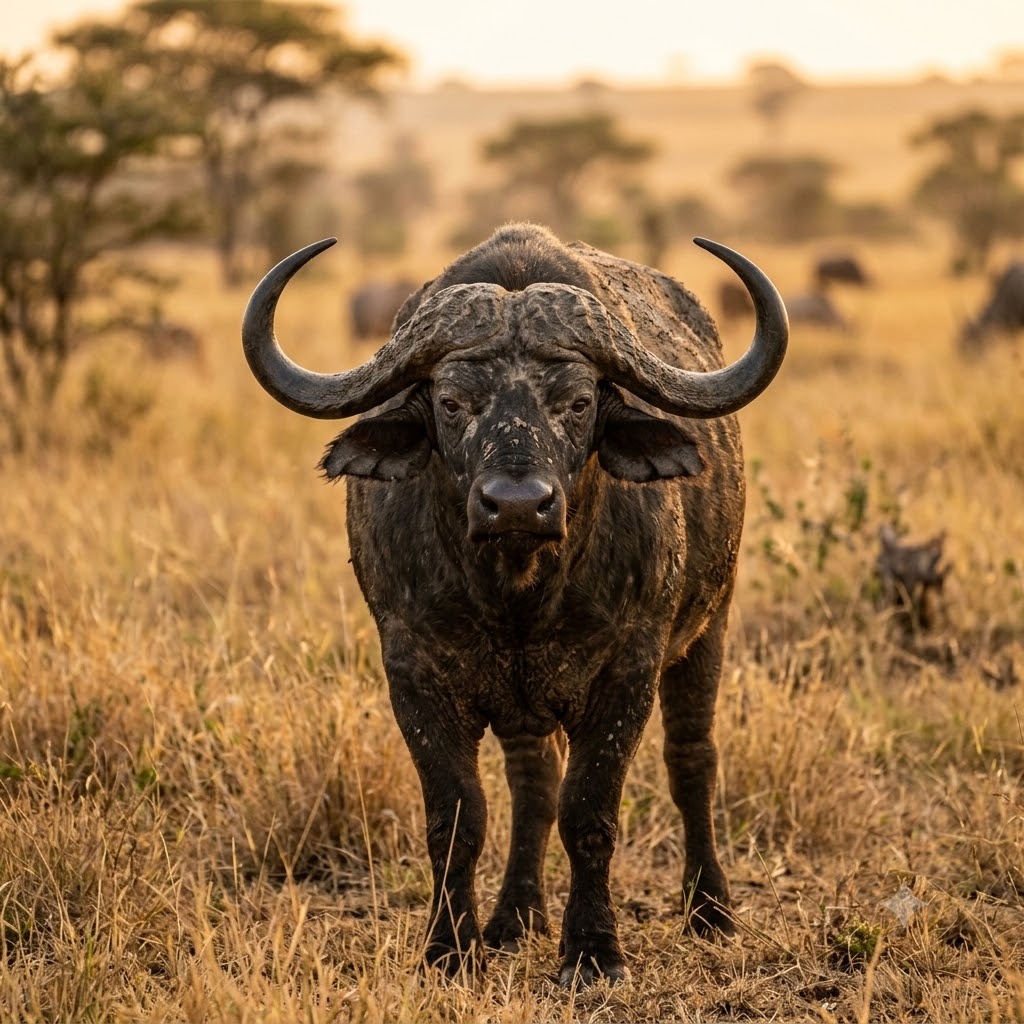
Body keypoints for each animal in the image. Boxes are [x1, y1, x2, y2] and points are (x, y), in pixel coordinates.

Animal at [242, 223, 788, 985]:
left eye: (578, 402)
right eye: (451, 402)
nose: (519, 504)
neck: (517, 592)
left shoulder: (628, 670)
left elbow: (589, 810)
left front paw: (592, 952)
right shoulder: (413, 673)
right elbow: (458, 817)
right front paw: (449, 947)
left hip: (711, 624)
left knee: (691, 759)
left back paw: (709, 909)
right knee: (533, 783)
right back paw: (515, 916)